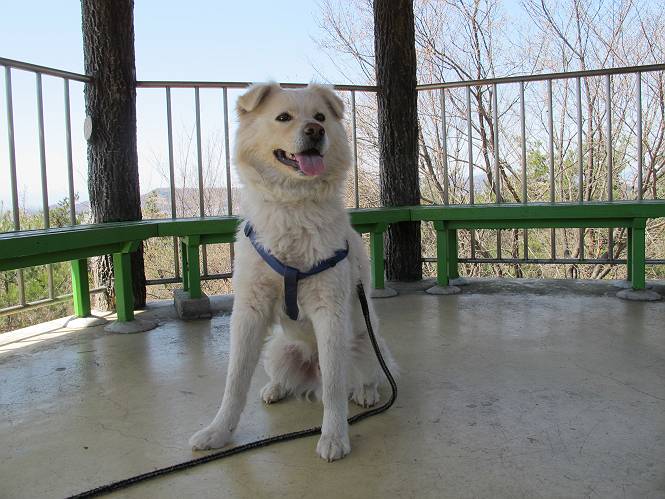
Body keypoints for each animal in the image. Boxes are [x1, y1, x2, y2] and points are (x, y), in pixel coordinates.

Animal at [188, 82, 397, 461]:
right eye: (283, 117)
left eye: (321, 117)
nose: (315, 131)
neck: (293, 207)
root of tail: (310, 367)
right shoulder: (249, 311)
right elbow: (235, 381)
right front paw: (218, 432)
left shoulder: (330, 312)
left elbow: (334, 386)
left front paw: (334, 437)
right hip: (278, 350)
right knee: (286, 376)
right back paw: (275, 388)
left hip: (364, 345)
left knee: (363, 376)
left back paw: (367, 392)